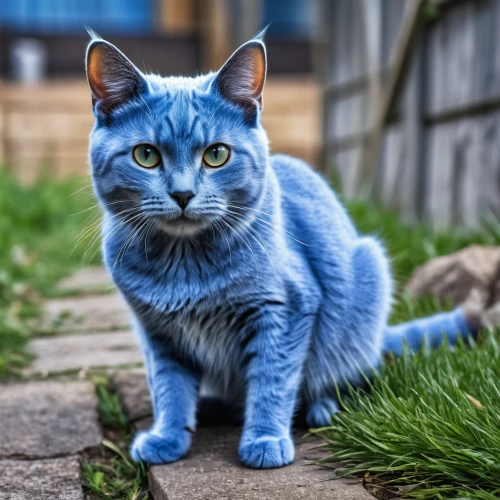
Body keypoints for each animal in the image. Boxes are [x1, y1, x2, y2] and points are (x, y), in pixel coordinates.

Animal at [85, 32, 472, 468]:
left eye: (216, 154)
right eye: (146, 155)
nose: (183, 194)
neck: (184, 265)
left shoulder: (284, 309)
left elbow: (273, 379)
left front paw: (265, 440)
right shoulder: (159, 335)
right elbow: (169, 388)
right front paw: (167, 437)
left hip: (365, 283)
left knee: (344, 377)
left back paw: (322, 409)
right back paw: (211, 408)